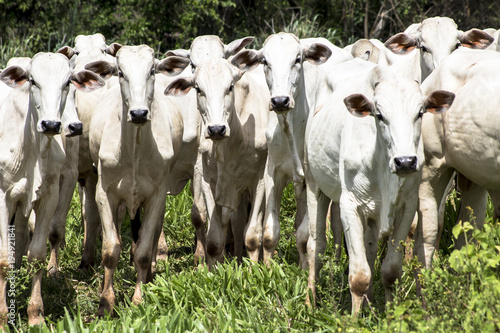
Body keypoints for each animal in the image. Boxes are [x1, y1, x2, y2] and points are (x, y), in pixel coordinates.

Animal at [0, 50, 104, 322]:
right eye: (33, 81)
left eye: (67, 83)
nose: (51, 124)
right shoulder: (2, 198)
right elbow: (2, 258)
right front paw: (3, 317)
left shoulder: (50, 194)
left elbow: (37, 253)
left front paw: (36, 314)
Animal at [85, 44, 187, 316]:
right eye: (121, 72)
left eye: (152, 70)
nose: (139, 113)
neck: (135, 149)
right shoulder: (105, 193)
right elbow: (110, 249)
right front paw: (105, 302)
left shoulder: (157, 195)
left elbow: (142, 251)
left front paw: (139, 299)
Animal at [300, 57, 454, 314]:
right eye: (379, 114)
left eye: (420, 112)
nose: (405, 161)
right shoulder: (349, 206)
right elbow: (359, 276)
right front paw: (353, 318)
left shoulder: (406, 207)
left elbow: (390, 271)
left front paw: (390, 313)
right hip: (314, 185)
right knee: (316, 247)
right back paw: (310, 303)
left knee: (369, 248)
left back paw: (370, 303)